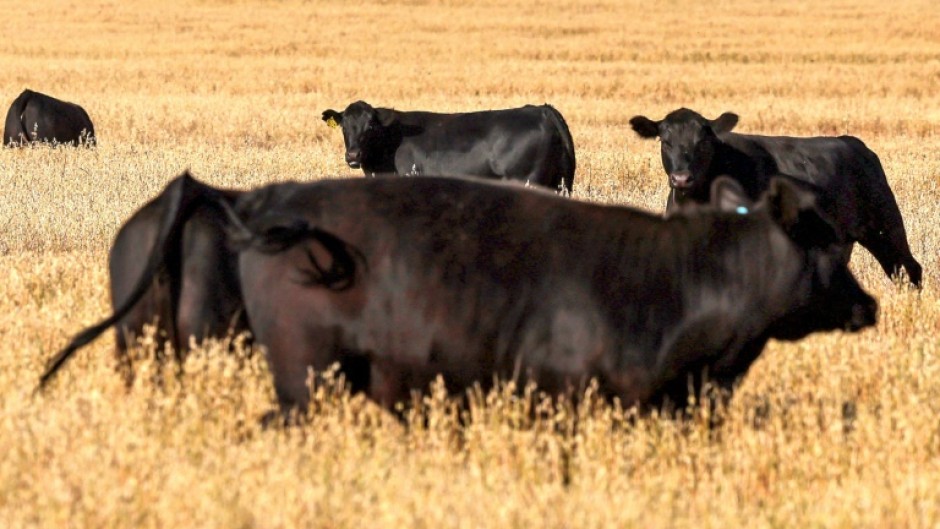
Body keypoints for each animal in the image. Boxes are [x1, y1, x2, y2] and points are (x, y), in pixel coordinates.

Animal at [629, 108, 922, 287]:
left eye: (702, 142)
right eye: (665, 141)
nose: (681, 178)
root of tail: (854, 143)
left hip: (886, 224)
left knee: (909, 267)